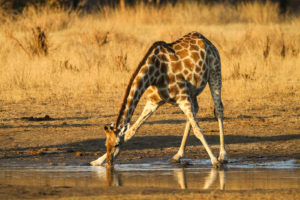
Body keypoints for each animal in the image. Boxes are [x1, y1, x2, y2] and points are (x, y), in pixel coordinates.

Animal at [91, 31, 227, 169]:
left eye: (117, 144)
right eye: (105, 144)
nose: (109, 164)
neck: (154, 74)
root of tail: (205, 40)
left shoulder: (182, 97)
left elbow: (198, 130)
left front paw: (215, 161)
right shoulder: (153, 101)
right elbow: (131, 131)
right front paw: (97, 161)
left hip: (215, 71)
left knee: (218, 109)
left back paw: (222, 156)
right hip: (192, 91)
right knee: (196, 110)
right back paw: (177, 156)